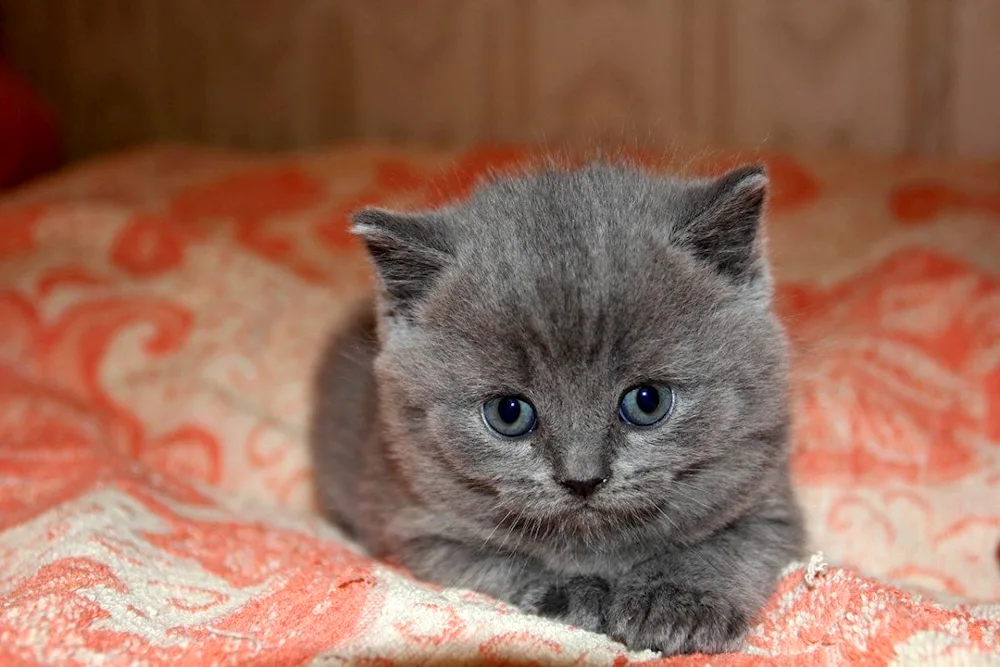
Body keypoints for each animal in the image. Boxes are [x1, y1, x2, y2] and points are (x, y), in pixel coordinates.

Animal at [312, 162, 804, 656]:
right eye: (509, 413)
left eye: (648, 401)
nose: (582, 479)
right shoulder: (418, 527)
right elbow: (494, 564)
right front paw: (568, 592)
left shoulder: (770, 503)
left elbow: (731, 546)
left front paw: (677, 601)